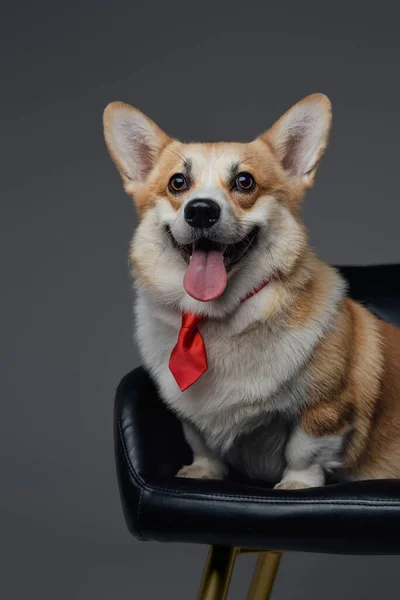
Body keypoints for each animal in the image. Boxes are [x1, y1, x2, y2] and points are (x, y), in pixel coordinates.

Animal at [102, 94, 400, 488]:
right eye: (177, 183)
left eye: (245, 181)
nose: (201, 211)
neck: (217, 317)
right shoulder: (190, 414)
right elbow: (200, 441)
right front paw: (202, 472)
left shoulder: (326, 407)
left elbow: (303, 450)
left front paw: (296, 484)